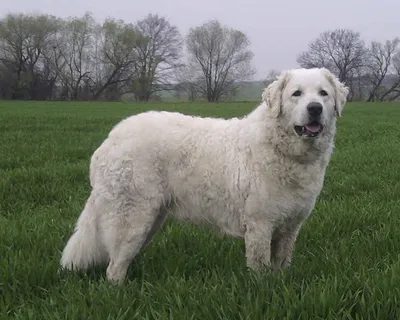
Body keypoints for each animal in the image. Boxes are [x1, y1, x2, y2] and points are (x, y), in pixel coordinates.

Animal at [61, 67, 348, 282]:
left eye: (323, 93)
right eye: (296, 94)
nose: (315, 108)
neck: (282, 147)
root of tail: (111, 138)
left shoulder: (290, 227)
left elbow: (282, 264)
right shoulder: (260, 224)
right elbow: (261, 267)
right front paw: (264, 288)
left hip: (152, 218)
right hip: (132, 218)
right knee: (114, 268)